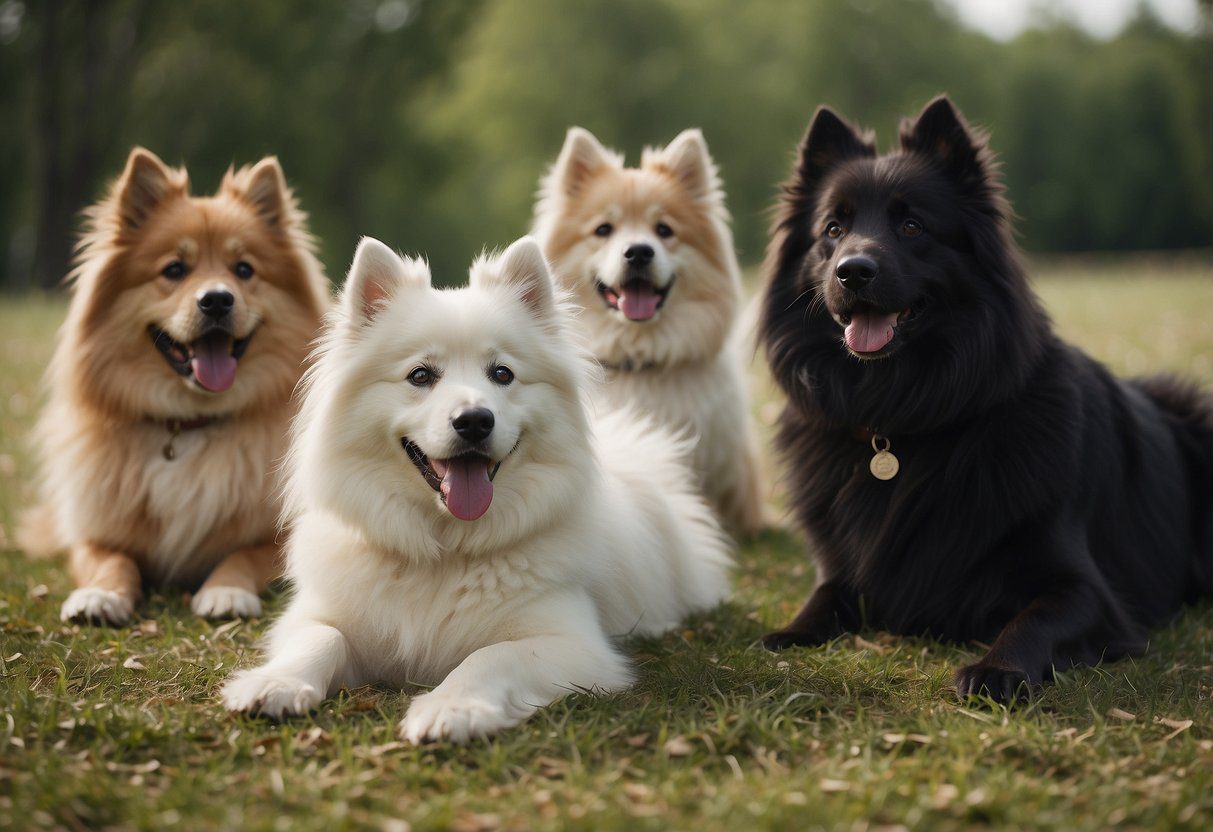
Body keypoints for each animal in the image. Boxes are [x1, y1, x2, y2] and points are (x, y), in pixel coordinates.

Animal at [20, 146, 332, 625]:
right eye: (174, 269)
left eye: (244, 269)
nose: (217, 299)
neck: (188, 426)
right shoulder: (96, 533)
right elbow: (110, 559)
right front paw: (101, 595)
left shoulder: (284, 533)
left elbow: (248, 553)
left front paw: (226, 591)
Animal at [220, 235, 727, 742]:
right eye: (420, 375)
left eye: (502, 374)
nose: (474, 420)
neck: (445, 551)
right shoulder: (316, 614)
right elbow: (320, 637)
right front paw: (277, 683)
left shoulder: (574, 644)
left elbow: (490, 656)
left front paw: (452, 707)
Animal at [756, 96, 1213, 703]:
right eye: (833, 228)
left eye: (912, 225)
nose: (852, 271)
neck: (901, 415)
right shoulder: (848, 568)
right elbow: (824, 594)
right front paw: (789, 632)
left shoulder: (1088, 590)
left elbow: (1035, 616)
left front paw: (999, 668)